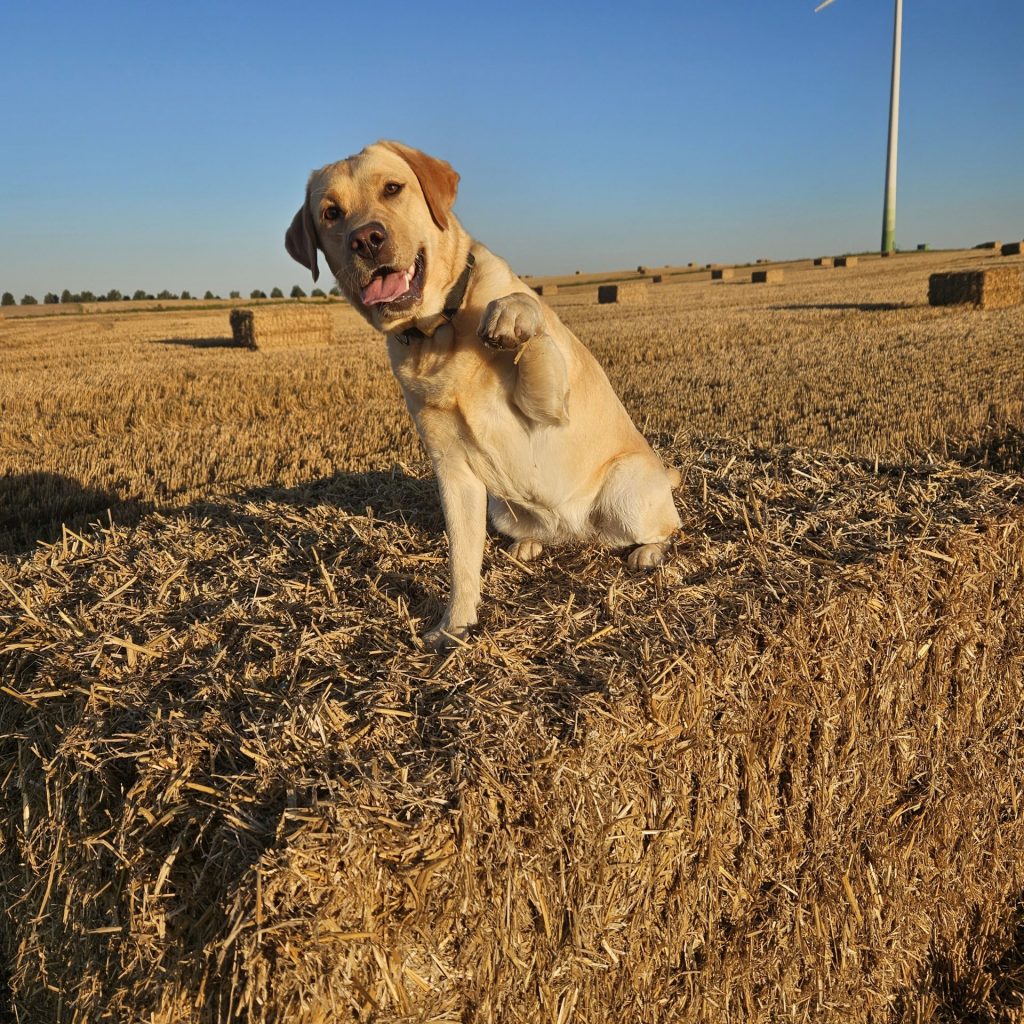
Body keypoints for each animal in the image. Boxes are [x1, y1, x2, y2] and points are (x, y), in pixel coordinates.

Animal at [285, 141, 681, 648]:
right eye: (331, 213)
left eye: (392, 188)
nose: (366, 239)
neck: (439, 331)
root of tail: (576, 528)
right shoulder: (453, 471)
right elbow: (461, 560)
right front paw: (454, 626)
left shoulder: (548, 408)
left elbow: (531, 319)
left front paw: (512, 314)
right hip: (502, 508)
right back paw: (530, 543)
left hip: (626, 489)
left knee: (665, 527)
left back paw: (650, 552)